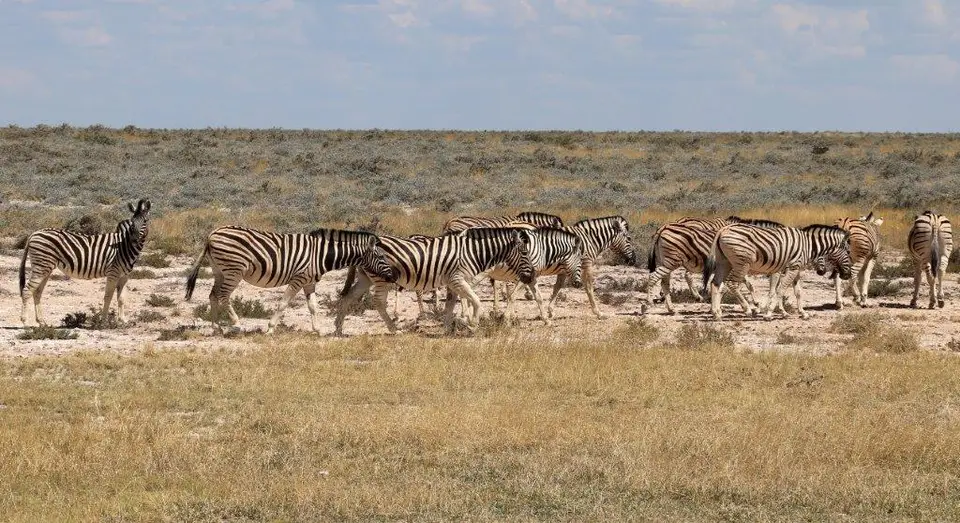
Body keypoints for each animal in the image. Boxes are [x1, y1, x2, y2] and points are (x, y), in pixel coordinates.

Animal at [19, 199, 152, 326]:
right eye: (132, 222)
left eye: (145, 221)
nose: (134, 240)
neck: (123, 246)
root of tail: (34, 234)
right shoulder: (113, 273)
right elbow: (108, 297)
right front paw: (104, 321)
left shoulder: (124, 276)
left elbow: (121, 298)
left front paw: (123, 320)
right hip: (41, 266)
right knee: (26, 291)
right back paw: (25, 322)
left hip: (46, 268)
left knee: (37, 292)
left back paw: (42, 322)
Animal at [184, 226, 398, 334]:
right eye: (381, 257)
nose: (393, 276)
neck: (321, 255)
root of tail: (212, 233)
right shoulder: (299, 278)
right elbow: (283, 303)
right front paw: (270, 329)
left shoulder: (310, 281)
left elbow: (313, 307)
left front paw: (318, 330)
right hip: (233, 271)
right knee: (223, 296)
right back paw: (237, 324)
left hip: (219, 270)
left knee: (213, 295)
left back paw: (216, 328)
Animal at [335, 227, 535, 336]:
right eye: (525, 253)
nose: (532, 276)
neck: (473, 252)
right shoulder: (458, 279)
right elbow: (476, 301)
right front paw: (472, 325)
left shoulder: (453, 283)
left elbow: (450, 306)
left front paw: (448, 329)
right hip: (381, 279)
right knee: (378, 302)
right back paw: (394, 329)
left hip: (366, 278)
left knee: (348, 297)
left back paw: (338, 328)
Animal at [645, 216, 785, 314]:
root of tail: (664, 227)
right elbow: (734, 286)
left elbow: (746, 285)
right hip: (673, 261)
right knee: (661, 277)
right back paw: (650, 304)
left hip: (665, 261)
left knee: (665, 282)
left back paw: (671, 307)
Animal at [704, 224, 852, 320]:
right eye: (848, 252)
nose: (848, 275)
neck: (809, 245)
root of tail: (723, 229)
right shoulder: (792, 268)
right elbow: (780, 290)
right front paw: (769, 313)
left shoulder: (795, 270)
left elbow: (797, 292)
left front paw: (802, 313)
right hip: (742, 263)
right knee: (731, 283)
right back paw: (747, 310)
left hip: (725, 262)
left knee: (715, 283)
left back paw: (716, 313)